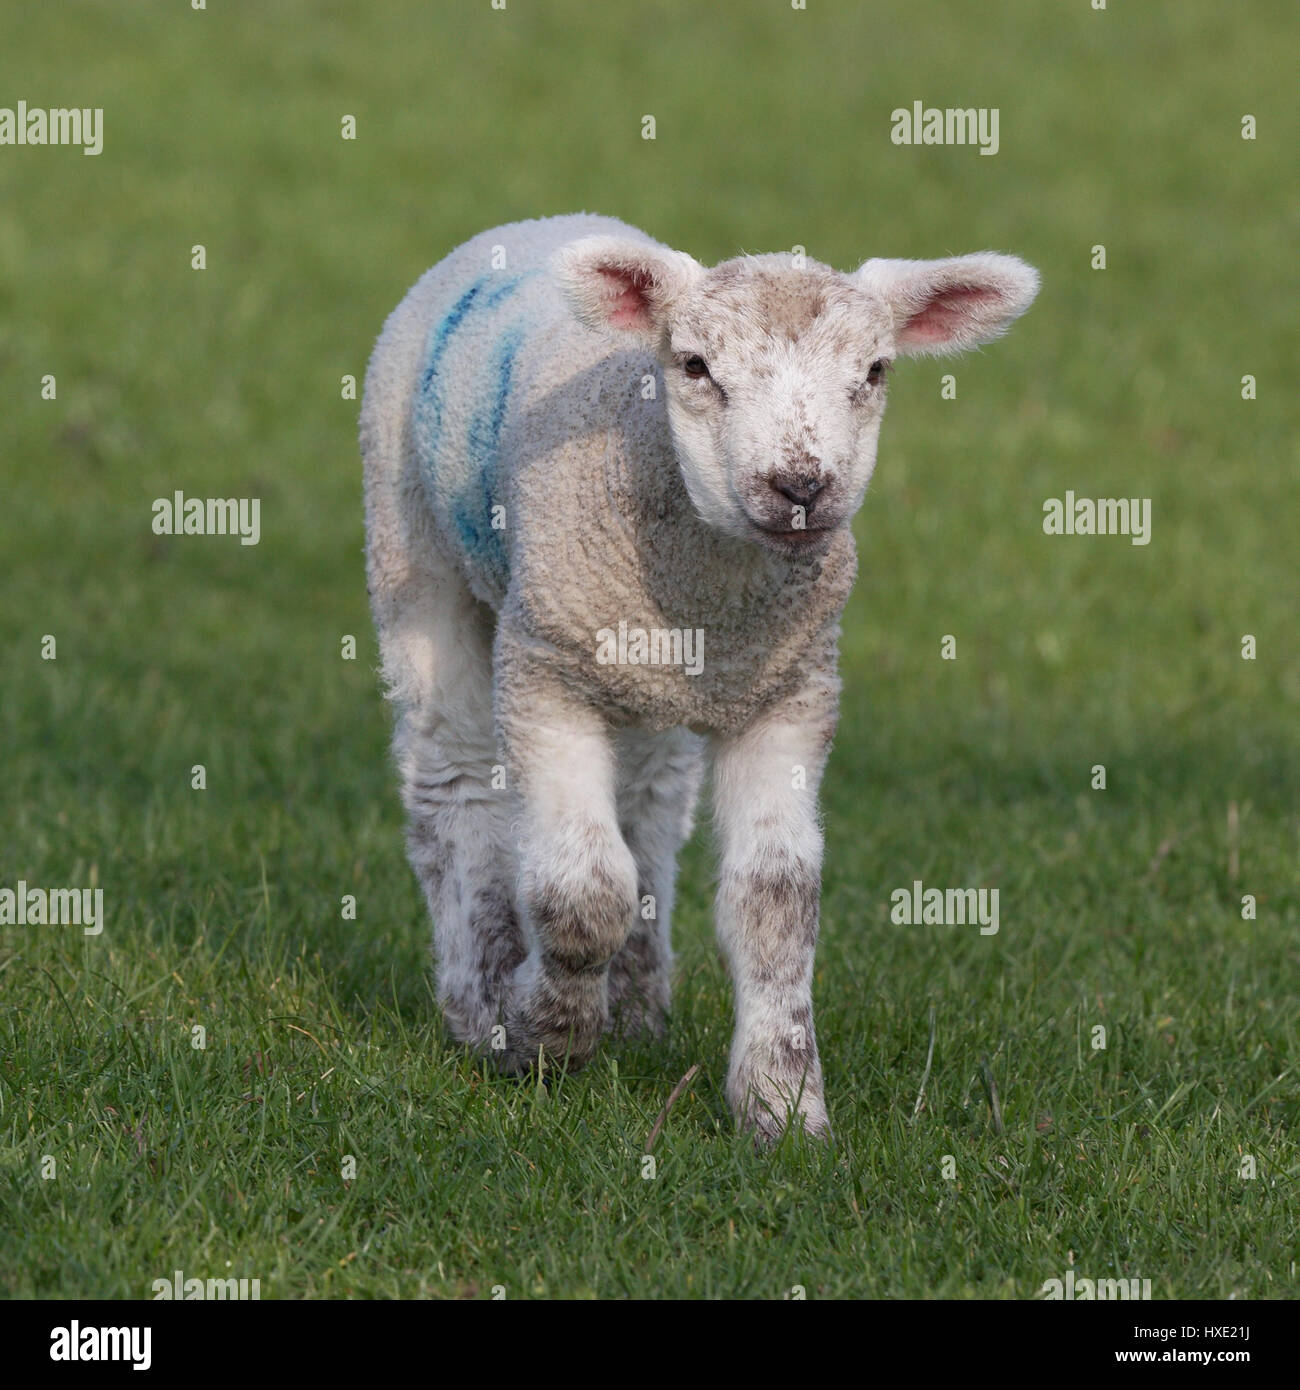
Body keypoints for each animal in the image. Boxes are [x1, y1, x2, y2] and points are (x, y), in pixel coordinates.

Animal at [361, 214, 1040, 1139]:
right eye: (694, 366)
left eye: (874, 371)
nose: (801, 486)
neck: (705, 591)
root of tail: (540, 223)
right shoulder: (546, 670)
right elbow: (582, 890)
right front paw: (545, 1035)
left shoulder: (791, 691)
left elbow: (775, 899)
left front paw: (783, 1108)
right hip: (412, 547)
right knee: (454, 782)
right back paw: (481, 1000)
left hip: (650, 685)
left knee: (649, 807)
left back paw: (638, 1004)